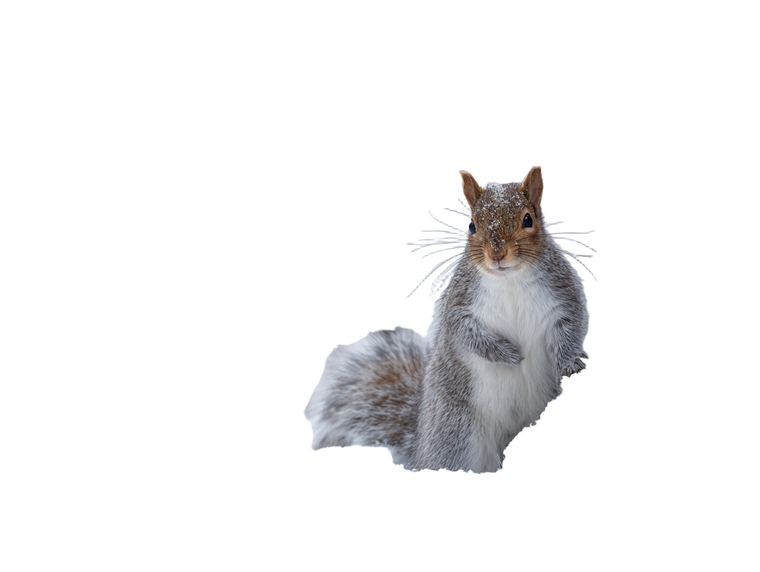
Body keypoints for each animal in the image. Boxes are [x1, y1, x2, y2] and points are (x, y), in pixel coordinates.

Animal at [303, 166, 593, 474]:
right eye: (472, 226)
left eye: (528, 219)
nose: (497, 254)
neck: (509, 279)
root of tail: (421, 444)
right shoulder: (460, 303)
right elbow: (465, 333)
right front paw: (506, 354)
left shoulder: (563, 295)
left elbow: (571, 327)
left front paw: (571, 363)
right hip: (456, 432)